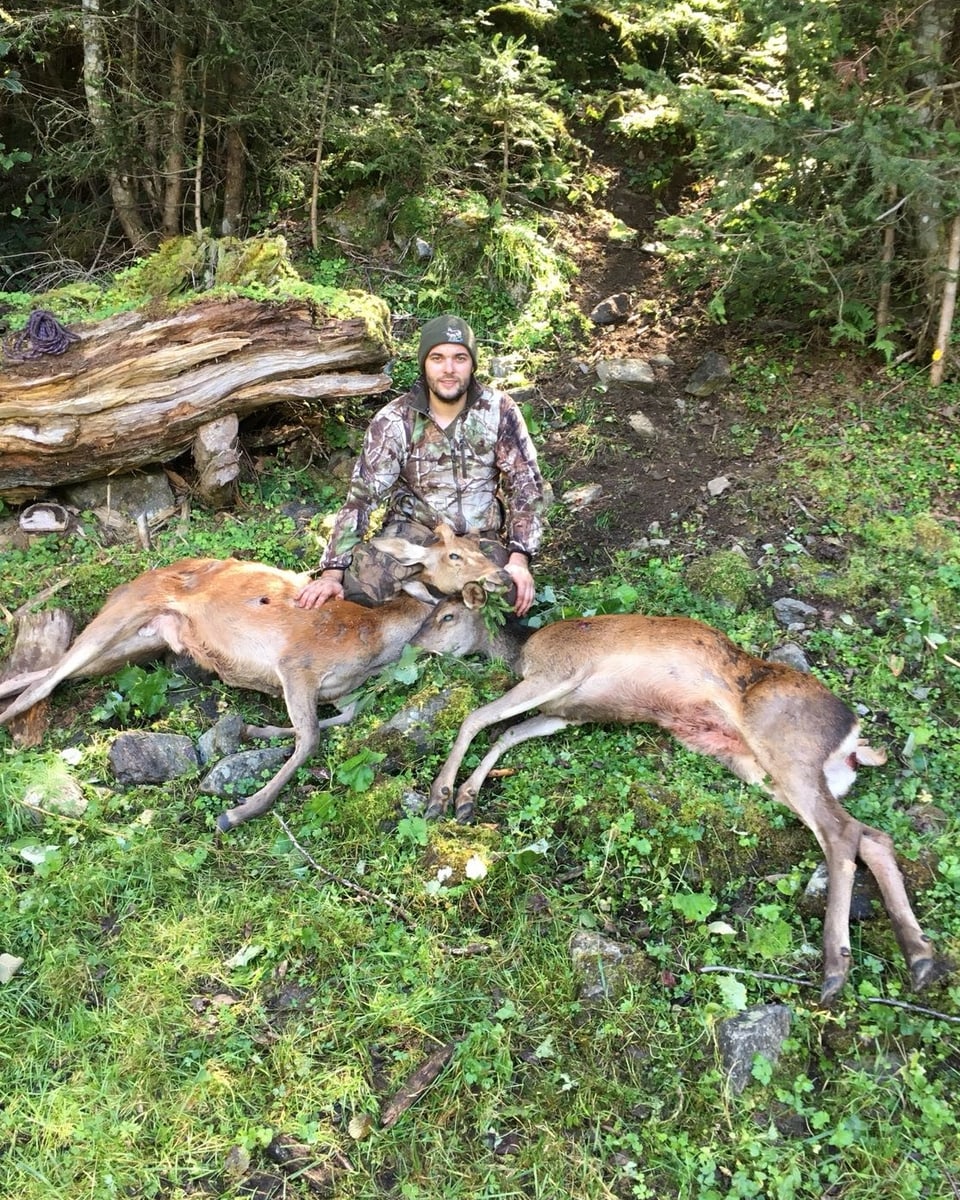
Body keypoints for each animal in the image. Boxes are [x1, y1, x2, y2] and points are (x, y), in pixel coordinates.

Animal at [1, 525, 508, 835]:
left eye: (481, 549)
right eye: (456, 555)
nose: (502, 574)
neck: (374, 642)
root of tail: (128, 583)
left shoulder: (342, 692)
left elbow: (336, 721)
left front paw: (253, 730)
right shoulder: (297, 664)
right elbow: (309, 739)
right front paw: (238, 811)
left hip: (142, 643)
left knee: (42, 674)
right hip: (126, 612)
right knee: (45, 682)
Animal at [415, 597, 936, 1003]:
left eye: (445, 615)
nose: (415, 646)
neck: (522, 652)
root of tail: (853, 740)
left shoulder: (559, 671)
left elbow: (479, 718)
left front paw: (441, 796)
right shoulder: (566, 714)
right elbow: (506, 733)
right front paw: (466, 798)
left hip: (787, 749)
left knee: (841, 832)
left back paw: (836, 967)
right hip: (760, 769)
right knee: (872, 834)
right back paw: (921, 957)